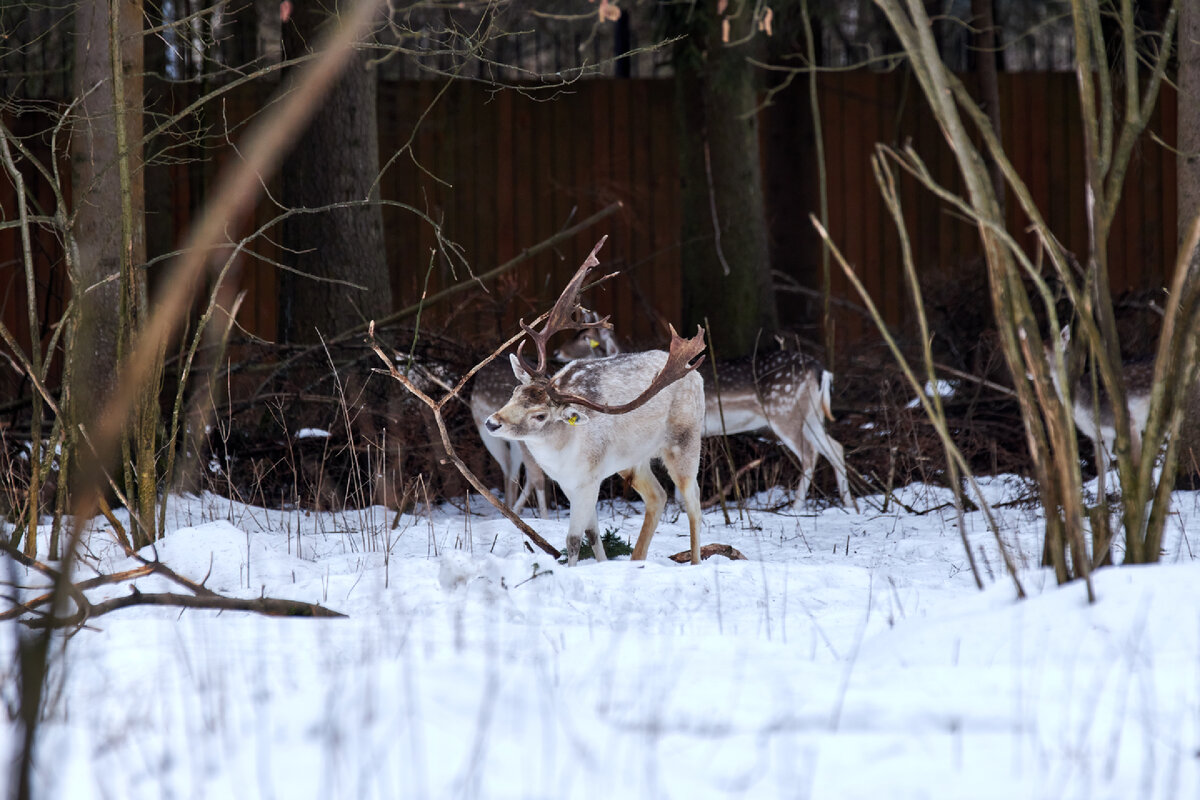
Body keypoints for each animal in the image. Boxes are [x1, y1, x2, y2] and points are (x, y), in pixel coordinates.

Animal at [482, 241, 705, 566]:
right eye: (515, 391)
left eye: (540, 416)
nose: (492, 422)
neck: (563, 455)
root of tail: (697, 375)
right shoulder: (572, 483)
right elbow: (592, 533)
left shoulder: (588, 480)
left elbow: (574, 538)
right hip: (634, 460)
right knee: (658, 496)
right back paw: (636, 560)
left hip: (686, 440)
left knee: (694, 503)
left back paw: (695, 562)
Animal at [556, 323, 859, 506]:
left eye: (585, 338)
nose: (559, 352)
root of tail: (821, 370)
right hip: (811, 415)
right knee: (835, 446)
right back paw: (850, 504)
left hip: (785, 411)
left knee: (810, 453)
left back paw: (797, 506)